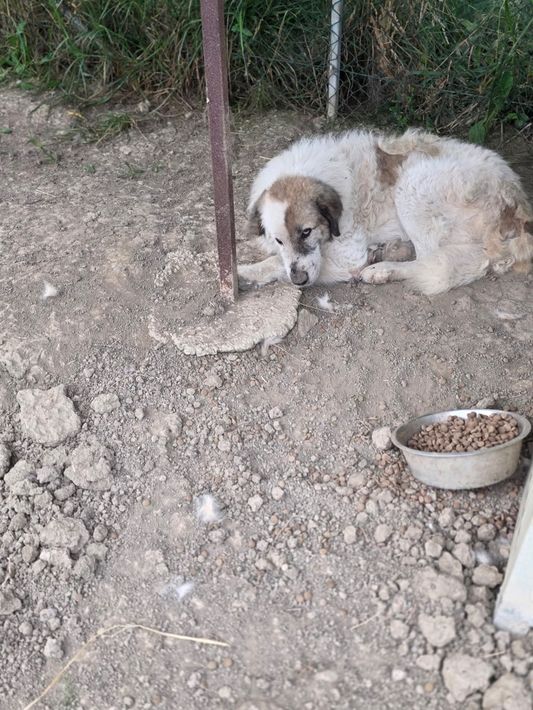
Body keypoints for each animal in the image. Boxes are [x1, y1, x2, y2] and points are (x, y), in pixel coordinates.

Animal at [238, 129, 532, 295]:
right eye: (278, 240)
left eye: (307, 232)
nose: (299, 281)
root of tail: (515, 200)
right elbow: (279, 259)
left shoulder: (348, 256)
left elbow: (277, 263)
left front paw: (246, 271)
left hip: (413, 185)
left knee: (430, 258)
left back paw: (383, 269)